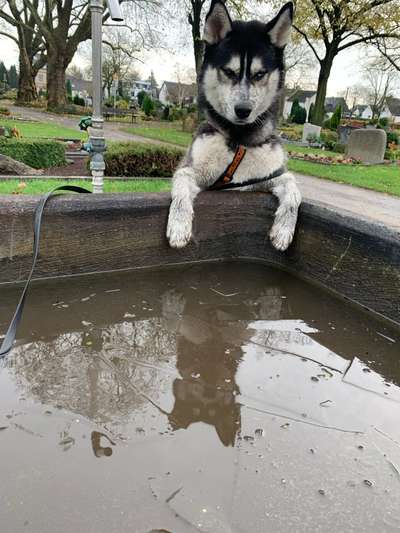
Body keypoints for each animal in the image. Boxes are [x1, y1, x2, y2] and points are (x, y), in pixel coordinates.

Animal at [166, 1, 300, 250]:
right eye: (228, 71)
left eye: (260, 74)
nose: (243, 110)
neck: (239, 140)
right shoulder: (193, 172)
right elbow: (180, 185)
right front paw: (179, 226)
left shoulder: (262, 179)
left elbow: (293, 188)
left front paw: (284, 230)